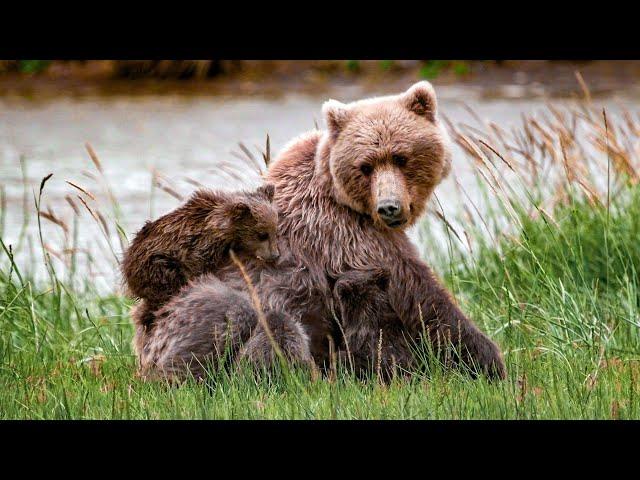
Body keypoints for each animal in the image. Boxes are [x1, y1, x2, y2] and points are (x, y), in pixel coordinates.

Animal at [139, 83, 504, 382]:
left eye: (401, 157)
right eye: (366, 165)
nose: (389, 207)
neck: (343, 196)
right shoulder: (348, 236)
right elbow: (421, 297)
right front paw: (489, 361)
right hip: (197, 313)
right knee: (257, 322)